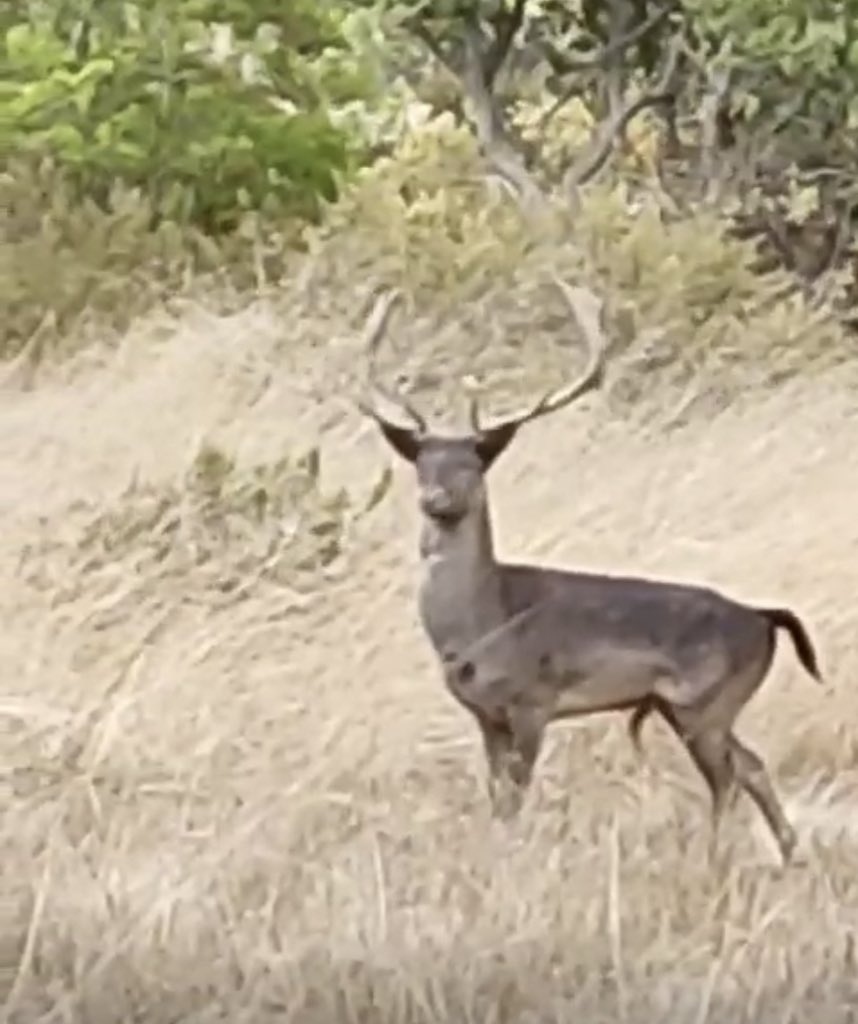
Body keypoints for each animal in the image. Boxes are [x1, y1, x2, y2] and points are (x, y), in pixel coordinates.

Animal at [358, 278, 827, 864]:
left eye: (472, 465)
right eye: (422, 464)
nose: (436, 499)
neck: (483, 623)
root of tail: (764, 618)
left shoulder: (533, 701)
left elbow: (515, 800)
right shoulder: (485, 715)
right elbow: (496, 799)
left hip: (708, 701)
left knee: (727, 779)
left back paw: (713, 860)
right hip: (685, 707)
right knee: (753, 767)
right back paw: (786, 856)